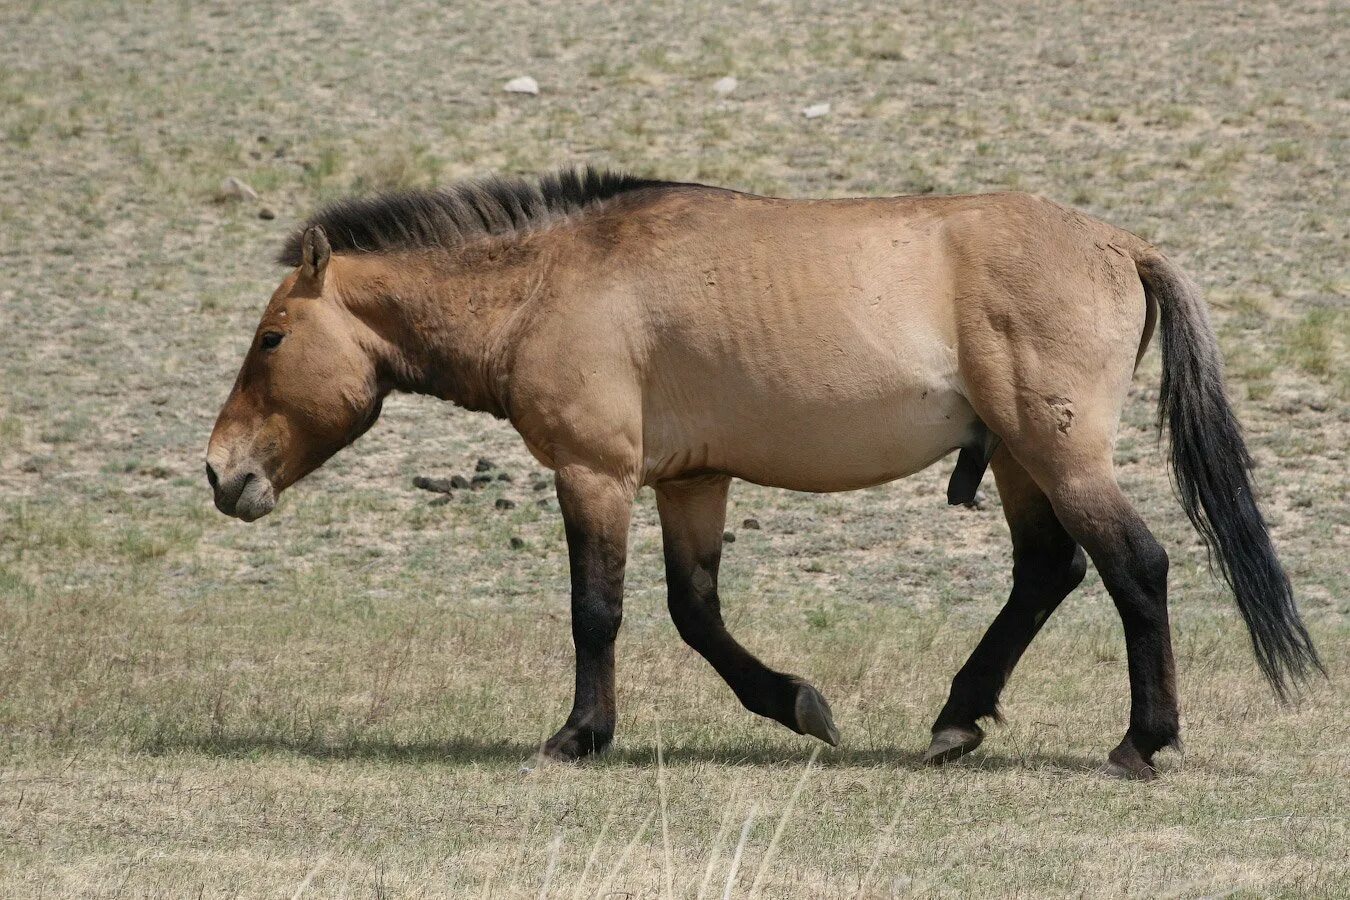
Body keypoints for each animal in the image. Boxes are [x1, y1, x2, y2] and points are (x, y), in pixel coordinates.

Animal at [205, 170, 1323, 782]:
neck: (548, 285)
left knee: (1137, 567)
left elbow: (597, 613)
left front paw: (577, 735)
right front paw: (797, 704)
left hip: (1059, 455)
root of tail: (1118, 242)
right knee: (1050, 573)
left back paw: (1142, 741)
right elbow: (697, 614)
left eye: (270, 339)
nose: (220, 472)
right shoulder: (691, 483)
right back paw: (957, 718)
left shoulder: (595, 473)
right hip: (1017, 461)